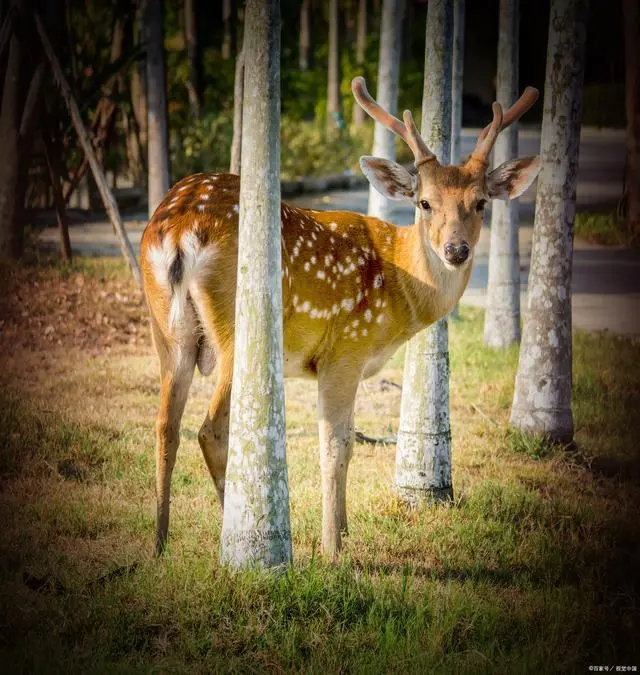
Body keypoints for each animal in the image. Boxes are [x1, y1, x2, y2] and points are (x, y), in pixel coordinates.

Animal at [139, 76, 540, 560]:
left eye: (480, 202)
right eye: (424, 203)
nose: (456, 250)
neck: (400, 287)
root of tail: (179, 229)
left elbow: (348, 441)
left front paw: (344, 533)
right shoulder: (345, 350)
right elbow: (336, 444)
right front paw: (333, 547)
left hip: (167, 331)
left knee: (165, 426)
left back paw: (159, 543)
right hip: (240, 329)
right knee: (211, 429)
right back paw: (234, 535)